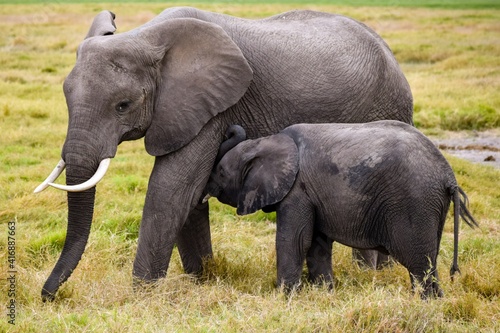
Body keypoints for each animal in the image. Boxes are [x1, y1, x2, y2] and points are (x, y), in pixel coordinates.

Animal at [34, 7, 410, 300]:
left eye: (122, 105)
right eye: (65, 95)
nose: (49, 296)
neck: (147, 38)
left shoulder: (212, 108)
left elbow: (172, 189)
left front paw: (141, 297)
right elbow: (189, 195)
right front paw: (201, 280)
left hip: (386, 106)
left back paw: (370, 276)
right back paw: (382, 273)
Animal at [206, 119, 476, 296]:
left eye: (221, 172)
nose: (229, 127)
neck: (267, 141)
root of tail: (448, 177)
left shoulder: (297, 190)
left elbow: (294, 240)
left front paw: (284, 297)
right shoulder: (313, 195)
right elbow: (317, 244)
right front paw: (324, 294)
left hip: (415, 203)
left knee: (419, 263)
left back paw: (425, 303)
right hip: (430, 207)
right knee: (428, 259)